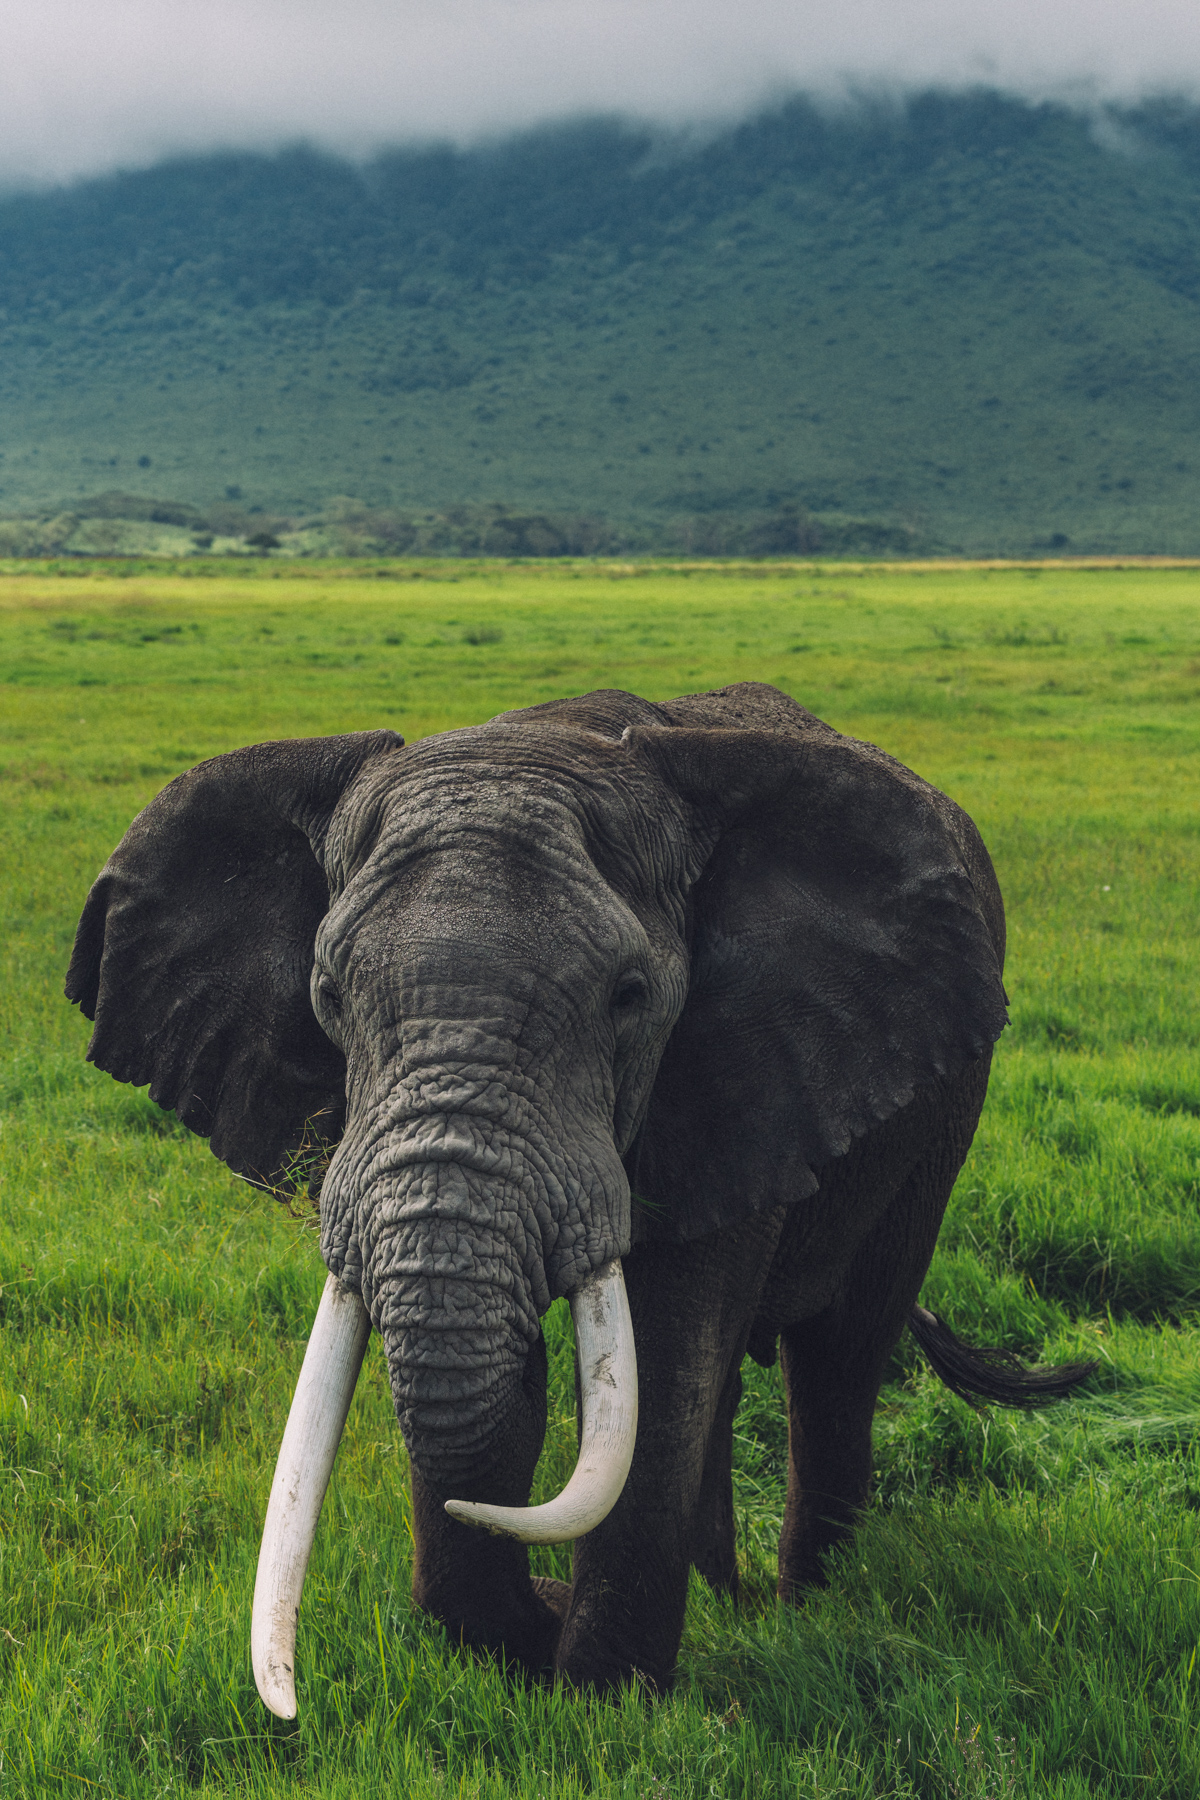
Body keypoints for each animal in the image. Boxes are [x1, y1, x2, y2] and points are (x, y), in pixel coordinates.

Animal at [65, 681, 1094, 1711]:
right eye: (327, 995)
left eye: (629, 997)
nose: (548, 1603)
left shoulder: (738, 1076)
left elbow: (669, 1357)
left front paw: (612, 1700)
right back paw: (725, 1598)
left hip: (939, 1124)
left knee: (840, 1354)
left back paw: (804, 1612)